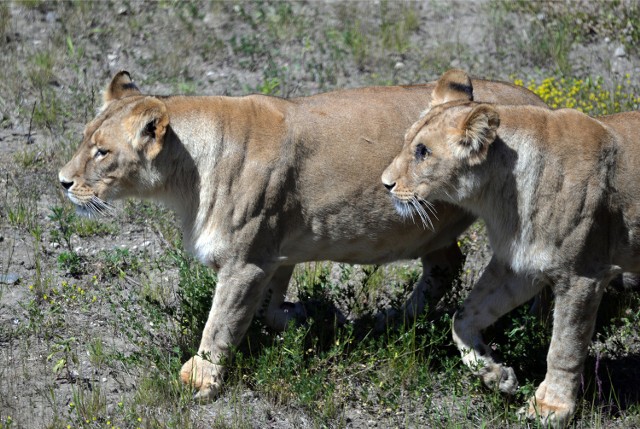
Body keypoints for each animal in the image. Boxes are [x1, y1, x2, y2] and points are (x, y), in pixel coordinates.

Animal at [57, 71, 544, 402]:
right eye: (83, 140)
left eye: (102, 152)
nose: (62, 181)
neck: (187, 173)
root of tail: (538, 98)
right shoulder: (273, 253)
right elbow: (269, 308)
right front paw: (306, 316)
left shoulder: (244, 263)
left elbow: (219, 324)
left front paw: (200, 379)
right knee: (446, 265)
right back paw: (392, 322)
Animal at [382, 69, 640, 424]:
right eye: (408, 141)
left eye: (423, 152)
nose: (385, 183)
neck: (497, 195)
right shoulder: (518, 266)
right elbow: (463, 317)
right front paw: (495, 375)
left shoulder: (583, 276)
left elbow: (564, 347)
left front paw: (550, 408)